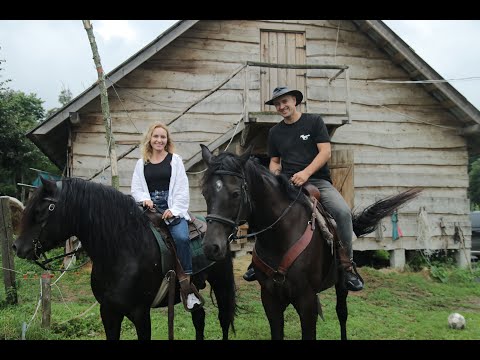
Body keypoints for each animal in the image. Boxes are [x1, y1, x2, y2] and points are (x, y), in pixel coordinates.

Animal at [12, 177, 235, 340]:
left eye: (40, 211)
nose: (17, 247)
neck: (122, 253)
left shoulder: (140, 314)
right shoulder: (108, 312)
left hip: (222, 284)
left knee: (224, 320)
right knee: (199, 318)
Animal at [199, 144, 420, 340]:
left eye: (236, 193)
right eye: (205, 193)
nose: (211, 247)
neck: (280, 237)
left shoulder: (306, 302)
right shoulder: (270, 300)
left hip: (341, 285)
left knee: (342, 313)